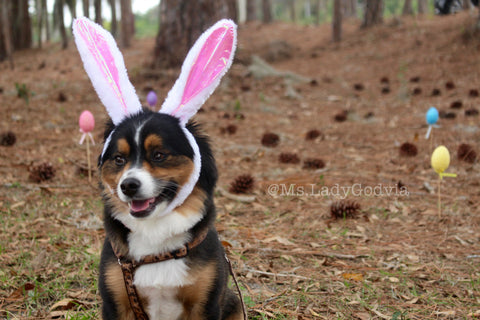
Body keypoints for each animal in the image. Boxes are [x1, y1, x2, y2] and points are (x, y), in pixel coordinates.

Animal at [73, 18, 244, 320]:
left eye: (159, 155)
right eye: (119, 159)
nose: (128, 185)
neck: (156, 243)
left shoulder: (205, 304)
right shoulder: (117, 301)